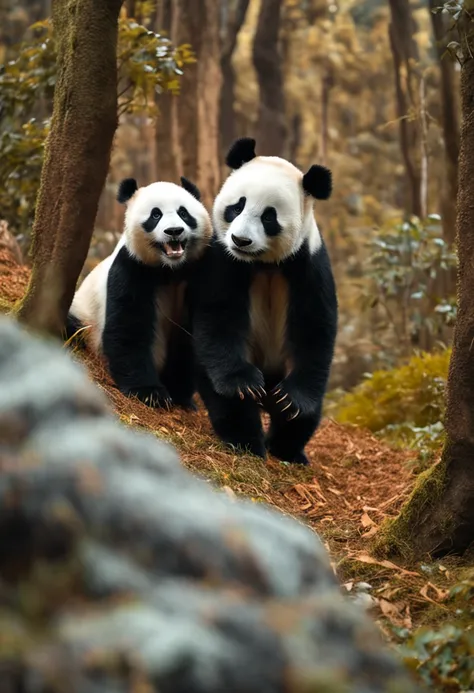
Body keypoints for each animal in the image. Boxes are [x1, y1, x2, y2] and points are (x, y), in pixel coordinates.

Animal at [65, 176, 211, 408]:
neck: (169, 269)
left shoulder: (195, 272)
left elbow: (189, 336)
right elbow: (128, 327)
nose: (174, 231)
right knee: (74, 327)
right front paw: (150, 392)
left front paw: (181, 396)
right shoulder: (131, 267)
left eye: (183, 213)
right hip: (83, 315)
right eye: (155, 215)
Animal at [191, 138, 338, 464]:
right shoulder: (223, 260)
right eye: (237, 206)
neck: (263, 263)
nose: (241, 240)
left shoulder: (308, 264)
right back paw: (246, 441)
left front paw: (293, 399)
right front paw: (243, 383)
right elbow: (218, 318)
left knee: (306, 411)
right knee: (227, 399)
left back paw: (288, 447)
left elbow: (315, 328)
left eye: (269, 216)